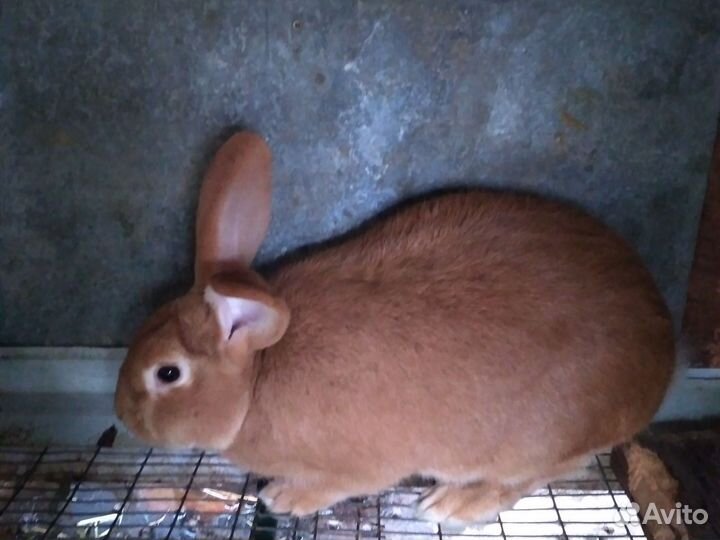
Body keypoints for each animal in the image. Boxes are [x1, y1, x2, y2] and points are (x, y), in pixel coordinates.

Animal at [115, 131, 676, 524]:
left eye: (167, 374)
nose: (122, 415)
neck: (257, 377)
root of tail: (662, 355)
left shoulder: (356, 468)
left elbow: (337, 485)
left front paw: (283, 496)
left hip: (536, 447)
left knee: (527, 479)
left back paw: (449, 505)